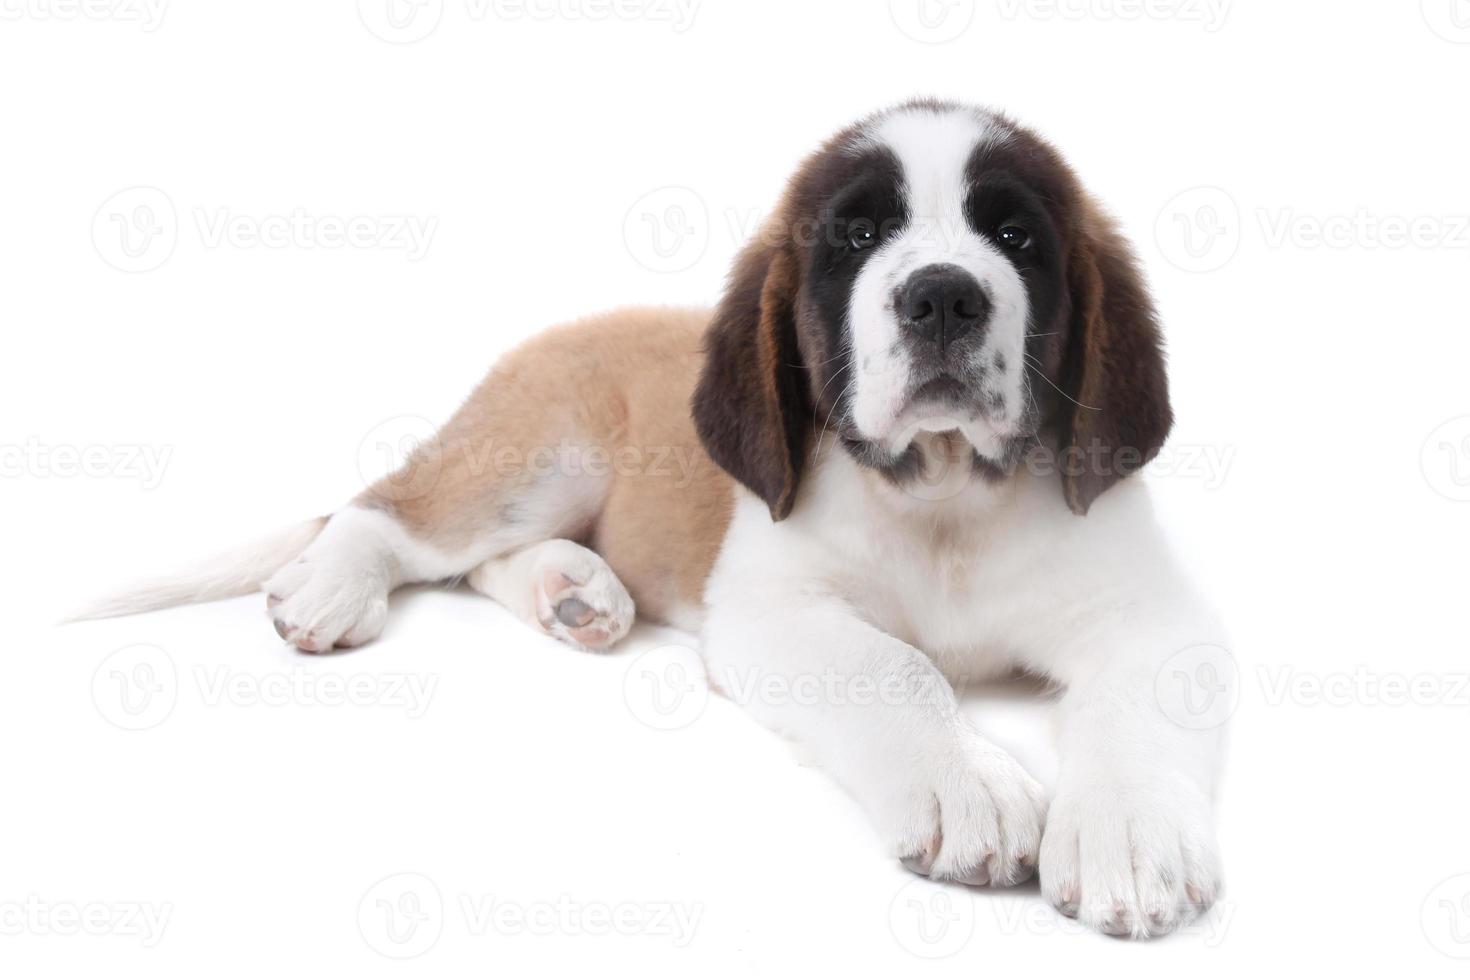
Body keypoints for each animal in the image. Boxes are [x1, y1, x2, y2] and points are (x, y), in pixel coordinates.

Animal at [80, 101, 1228, 940]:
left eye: (1015, 235)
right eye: (858, 236)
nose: (944, 296)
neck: (942, 495)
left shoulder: (1153, 616)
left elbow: (1133, 704)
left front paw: (1127, 833)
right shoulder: (772, 606)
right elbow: (896, 667)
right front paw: (969, 786)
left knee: (477, 562)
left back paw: (572, 592)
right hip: (544, 452)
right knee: (399, 517)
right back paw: (336, 581)